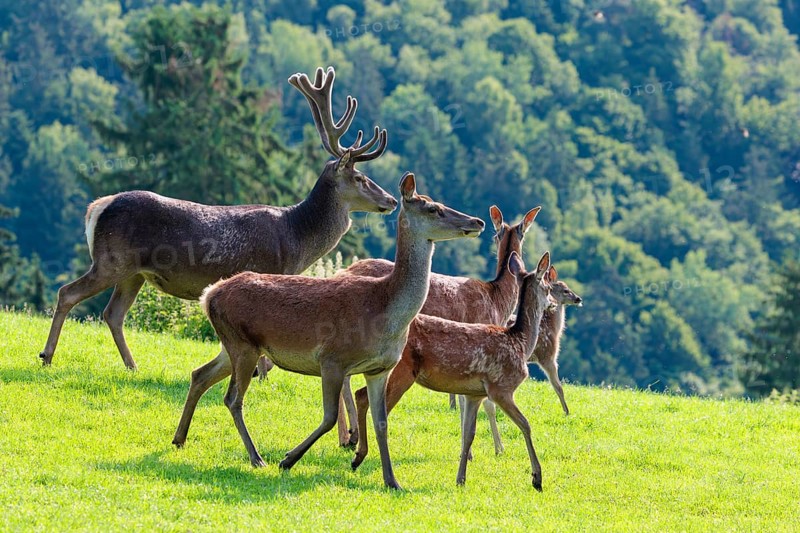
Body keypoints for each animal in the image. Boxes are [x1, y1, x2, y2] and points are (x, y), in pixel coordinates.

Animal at [37, 66, 396, 376]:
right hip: (111, 260)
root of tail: (96, 207)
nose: (391, 200)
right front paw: (261, 376)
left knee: (113, 314)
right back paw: (47, 355)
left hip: (133, 271)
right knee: (68, 293)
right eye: (361, 178)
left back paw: (131, 365)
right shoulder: (270, 268)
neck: (297, 238)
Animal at [171, 172, 485, 490]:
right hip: (242, 344)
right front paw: (288, 459)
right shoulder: (332, 358)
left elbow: (382, 422)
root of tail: (209, 294)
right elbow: (330, 417)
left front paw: (392, 481)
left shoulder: (380, 368)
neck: (383, 311)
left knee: (200, 374)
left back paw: (179, 439)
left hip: (234, 345)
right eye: (434, 209)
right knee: (233, 399)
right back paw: (256, 457)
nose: (477, 221)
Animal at [335, 205, 541, 450]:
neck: (497, 300)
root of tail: (340, 272)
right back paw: (351, 435)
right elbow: (486, 403)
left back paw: (346, 436)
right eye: (524, 234)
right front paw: (498, 448)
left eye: (497, 235)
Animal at [350, 251, 554, 490]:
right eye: (547, 287)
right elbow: (526, 424)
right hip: (402, 371)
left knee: (361, 395)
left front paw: (461, 479)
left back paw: (357, 456)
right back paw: (359, 457)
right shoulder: (500, 387)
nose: (552, 304)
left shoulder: (475, 394)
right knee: (369, 402)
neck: (519, 343)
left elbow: (468, 434)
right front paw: (537, 478)